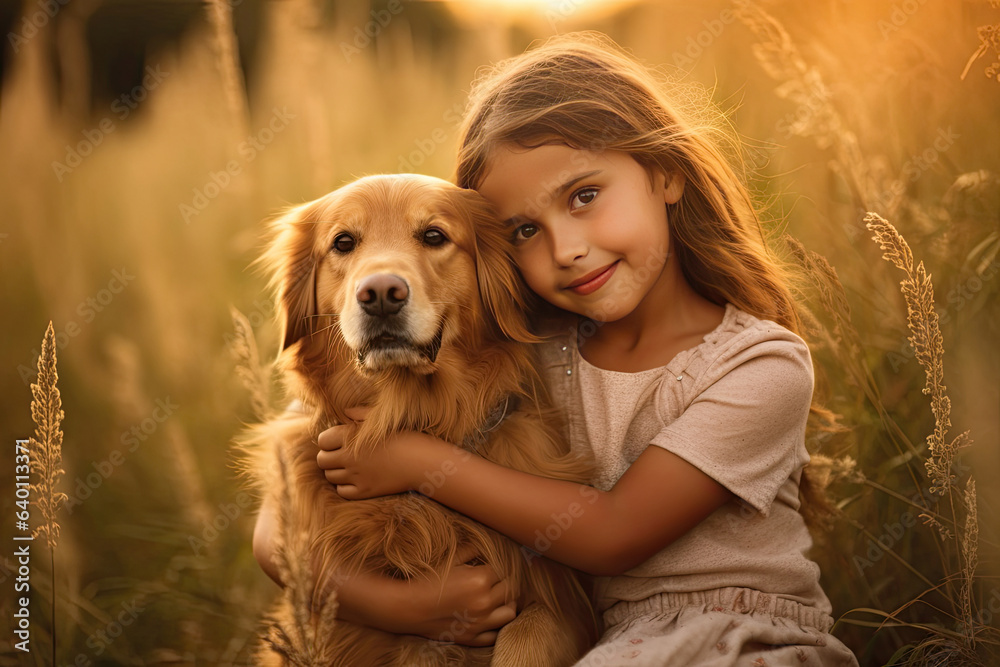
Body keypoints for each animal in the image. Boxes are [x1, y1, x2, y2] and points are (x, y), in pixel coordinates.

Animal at [247, 175, 596, 664]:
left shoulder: (563, 602)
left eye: (434, 236)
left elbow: (529, 634)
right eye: (343, 242)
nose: (380, 294)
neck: (407, 415)